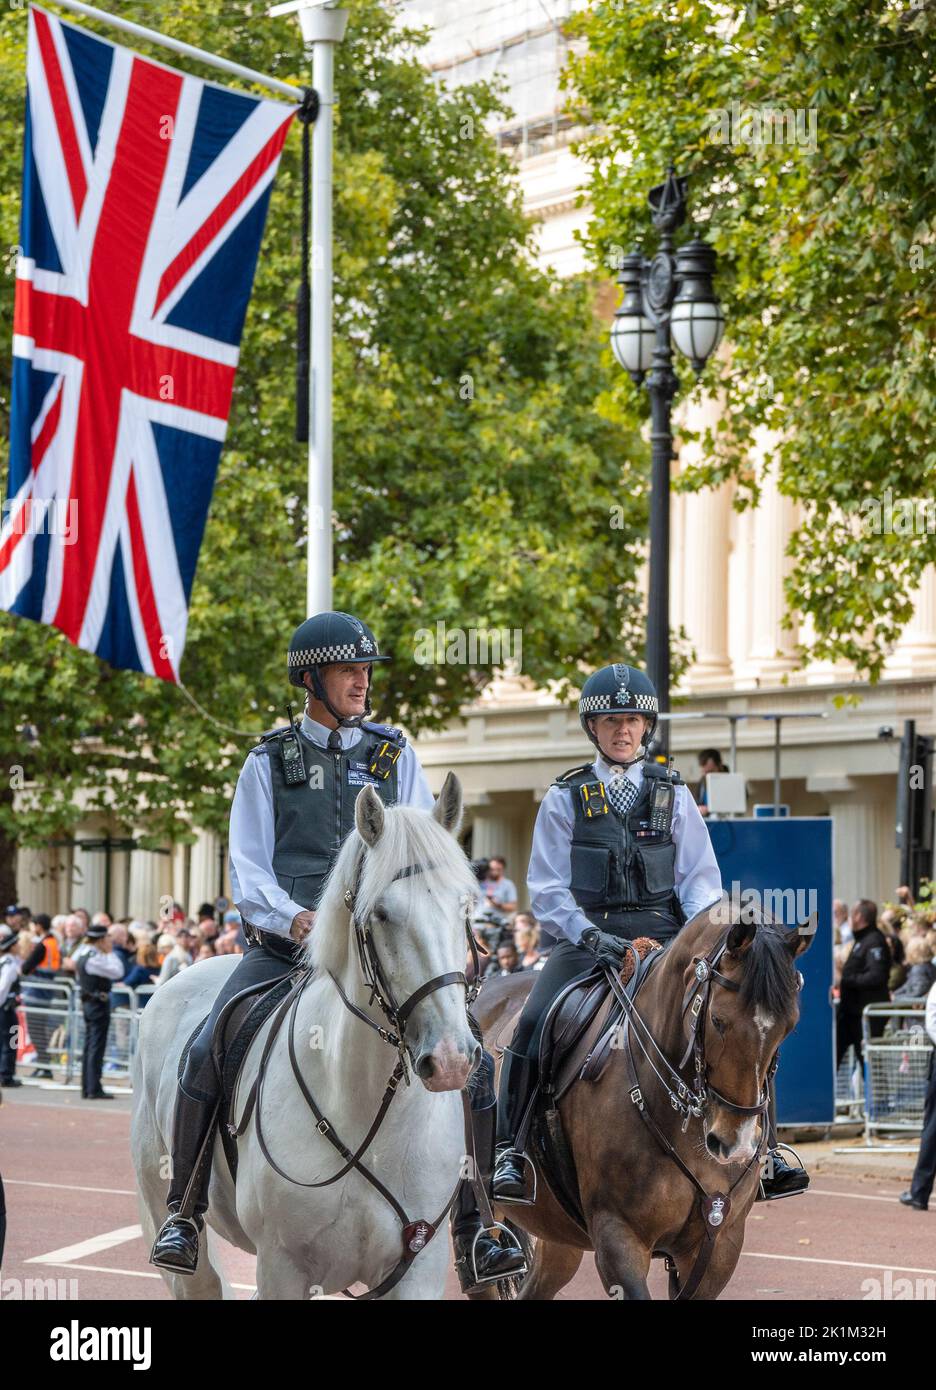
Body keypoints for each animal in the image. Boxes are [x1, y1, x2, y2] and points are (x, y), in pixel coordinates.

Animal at [129, 778, 481, 1295]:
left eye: (465, 906)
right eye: (381, 913)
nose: (452, 1059)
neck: (368, 1118)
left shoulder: (418, 1270)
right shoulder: (283, 1266)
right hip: (163, 1212)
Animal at [475, 900, 812, 1301]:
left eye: (789, 1025)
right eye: (718, 1020)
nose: (735, 1143)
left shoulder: (719, 1242)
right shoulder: (618, 1237)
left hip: (558, 1237)